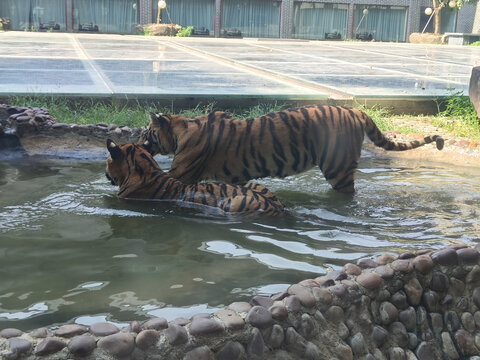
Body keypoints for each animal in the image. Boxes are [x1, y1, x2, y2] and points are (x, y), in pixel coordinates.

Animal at [138, 105, 442, 193]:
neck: (181, 129)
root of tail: (354, 110)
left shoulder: (180, 175)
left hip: (338, 168)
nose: (139, 142)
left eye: (145, 133)